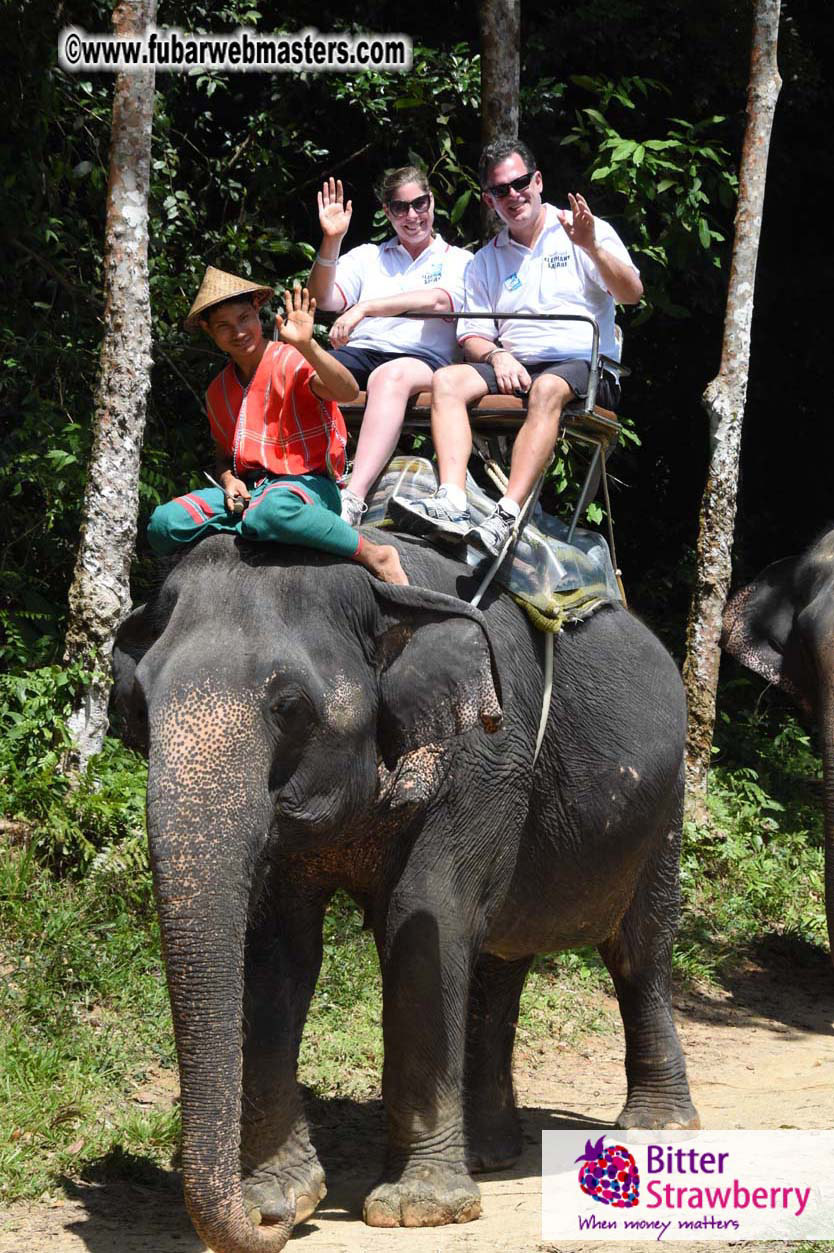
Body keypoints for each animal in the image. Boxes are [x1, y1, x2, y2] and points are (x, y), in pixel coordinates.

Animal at [113, 528, 698, 1253]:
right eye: (140, 708)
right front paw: (280, 1196)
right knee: (501, 961)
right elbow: (277, 947)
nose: (269, 1227)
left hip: (666, 804)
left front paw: (416, 1208)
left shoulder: (486, 751)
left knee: (638, 952)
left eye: (289, 707)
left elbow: (425, 914)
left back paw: (656, 1128)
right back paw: (488, 1153)